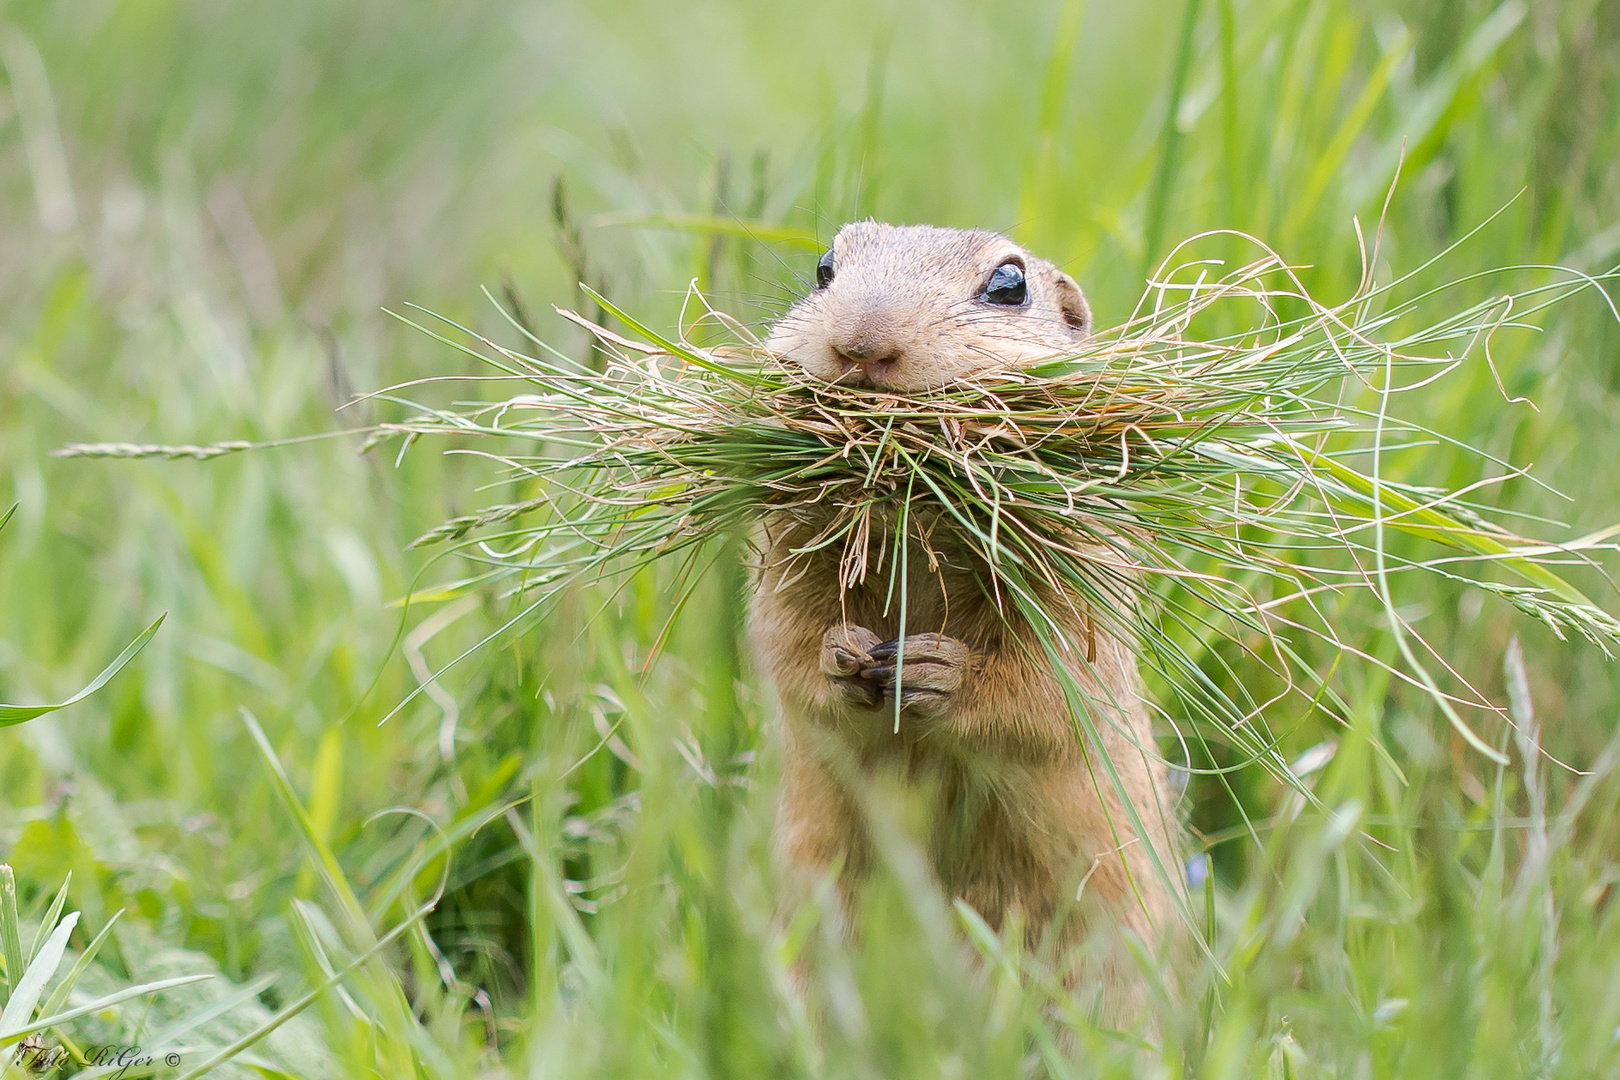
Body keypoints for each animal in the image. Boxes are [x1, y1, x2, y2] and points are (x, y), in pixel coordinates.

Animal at [751, 221, 1185, 1016]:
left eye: (1008, 285)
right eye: (823, 269)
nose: (862, 344)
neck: (916, 512)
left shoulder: (1082, 573)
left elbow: (1050, 687)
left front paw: (936, 671)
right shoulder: (781, 550)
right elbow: (787, 645)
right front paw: (844, 654)